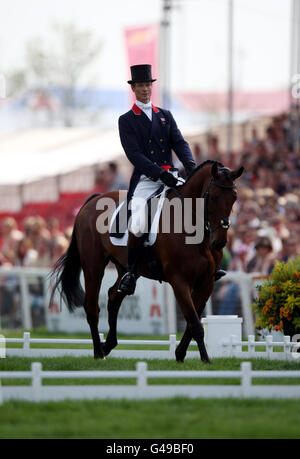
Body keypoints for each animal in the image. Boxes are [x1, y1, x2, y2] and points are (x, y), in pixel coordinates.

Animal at [50, 161, 244, 362]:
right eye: (213, 197)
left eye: (234, 198)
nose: (219, 242)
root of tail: (93, 200)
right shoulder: (179, 280)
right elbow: (195, 324)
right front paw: (205, 360)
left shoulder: (207, 282)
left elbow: (193, 322)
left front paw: (180, 354)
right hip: (93, 267)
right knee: (92, 307)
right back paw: (98, 352)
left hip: (126, 268)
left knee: (113, 296)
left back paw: (108, 345)